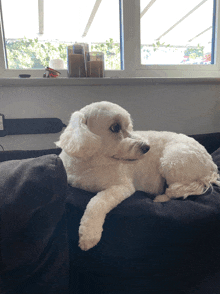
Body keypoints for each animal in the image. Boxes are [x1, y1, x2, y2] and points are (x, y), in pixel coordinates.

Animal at [55, 101, 220, 250]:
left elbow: (97, 202)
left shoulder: (123, 187)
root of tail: (211, 164)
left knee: (177, 189)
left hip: (172, 159)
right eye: (115, 127)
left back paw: (161, 197)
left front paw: (89, 234)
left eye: (129, 126)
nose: (147, 147)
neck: (91, 163)